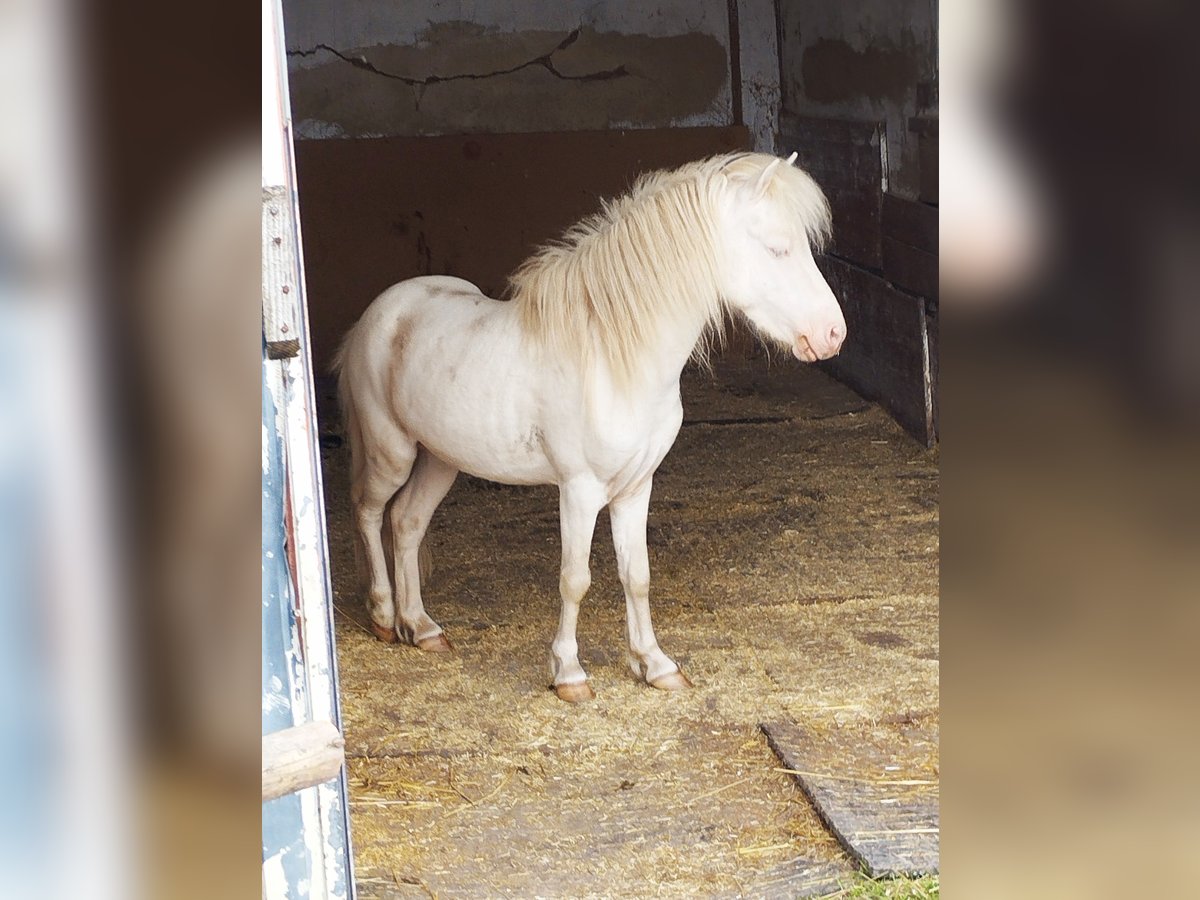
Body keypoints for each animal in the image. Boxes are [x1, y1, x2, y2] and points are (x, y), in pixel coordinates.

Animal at [333, 151, 849, 705]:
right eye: (778, 248)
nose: (833, 334)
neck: (610, 357)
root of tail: (379, 313)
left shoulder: (636, 488)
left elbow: (637, 575)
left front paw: (655, 664)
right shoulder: (579, 491)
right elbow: (574, 579)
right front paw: (569, 674)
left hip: (440, 460)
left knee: (407, 522)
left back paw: (421, 626)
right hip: (392, 452)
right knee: (369, 512)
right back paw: (384, 614)